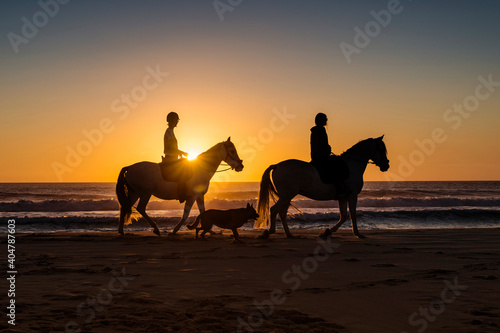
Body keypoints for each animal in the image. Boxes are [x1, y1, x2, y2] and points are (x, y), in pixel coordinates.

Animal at [115, 136, 244, 235]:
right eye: (232, 151)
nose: (240, 166)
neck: (201, 168)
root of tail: (130, 167)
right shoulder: (193, 196)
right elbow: (186, 214)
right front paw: (175, 230)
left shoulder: (199, 195)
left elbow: (203, 211)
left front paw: (210, 231)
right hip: (145, 193)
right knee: (140, 208)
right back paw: (156, 229)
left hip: (134, 193)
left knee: (125, 207)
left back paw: (121, 231)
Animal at [256, 136, 388, 237]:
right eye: (382, 150)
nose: (386, 166)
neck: (352, 166)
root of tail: (277, 165)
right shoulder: (352, 195)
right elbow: (352, 215)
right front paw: (357, 234)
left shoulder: (342, 197)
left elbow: (343, 216)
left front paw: (327, 232)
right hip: (286, 195)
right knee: (274, 210)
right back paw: (269, 232)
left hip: (287, 196)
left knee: (282, 213)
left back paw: (289, 234)